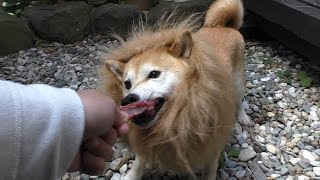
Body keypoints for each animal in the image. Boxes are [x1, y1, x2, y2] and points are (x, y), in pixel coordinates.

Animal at [97, 0, 250, 179]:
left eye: (154, 74)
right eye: (127, 84)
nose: (128, 99)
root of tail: (224, 27)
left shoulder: (212, 142)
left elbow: (210, 169)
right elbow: (140, 160)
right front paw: (132, 175)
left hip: (238, 83)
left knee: (239, 101)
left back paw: (243, 116)